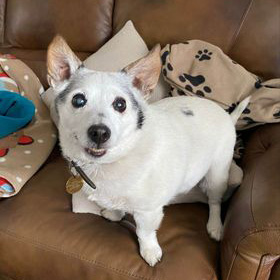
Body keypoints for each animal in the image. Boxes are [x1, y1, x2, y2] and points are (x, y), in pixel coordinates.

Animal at [46, 36, 249, 266]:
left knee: (215, 202)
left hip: (216, 175)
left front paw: (150, 251)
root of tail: (228, 117)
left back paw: (215, 227)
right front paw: (114, 215)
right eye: (78, 100)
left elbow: (145, 232)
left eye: (120, 104)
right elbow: (117, 207)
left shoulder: (148, 211)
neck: (111, 162)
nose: (99, 132)